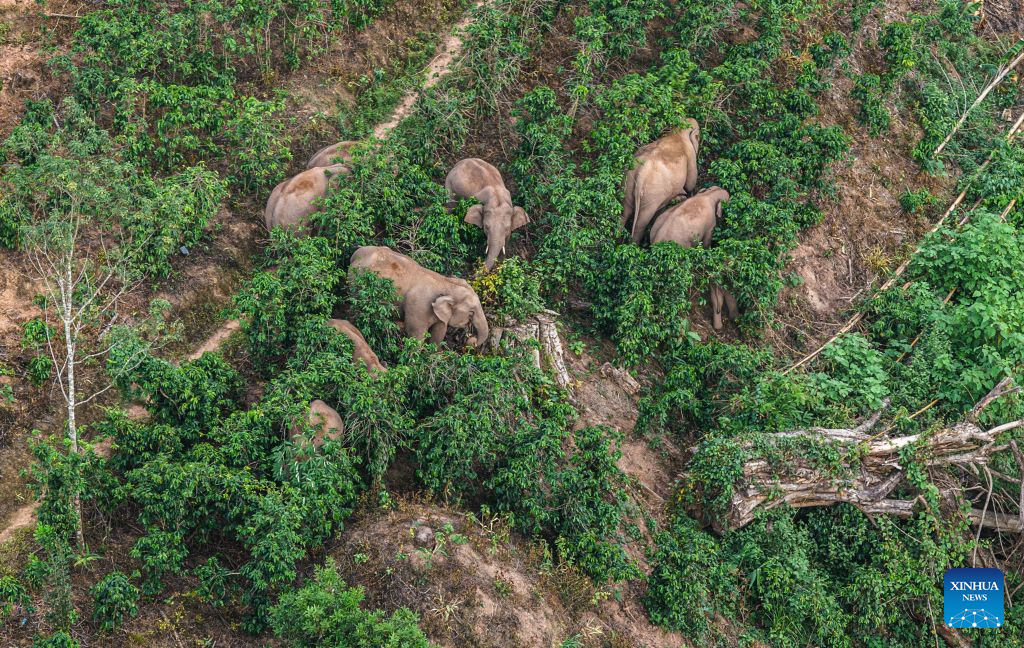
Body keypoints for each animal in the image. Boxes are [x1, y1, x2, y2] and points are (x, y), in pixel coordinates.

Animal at [348, 246, 489, 348]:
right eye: (471, 312)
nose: (471, 340)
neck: (446, 283)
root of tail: (355, 254)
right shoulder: (418, 306)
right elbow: (416, 336)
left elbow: (439, 331)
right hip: (356, 283)